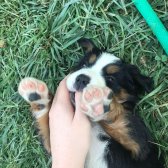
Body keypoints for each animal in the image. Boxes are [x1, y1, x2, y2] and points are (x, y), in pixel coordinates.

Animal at [18, 38, 164, 168]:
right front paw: (35, 91)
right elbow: (46, 122)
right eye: (84, 65)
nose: (82, 79)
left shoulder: (141, 149)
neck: (93, 124)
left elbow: (121, 120)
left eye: (110, 79)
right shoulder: (57, 147)